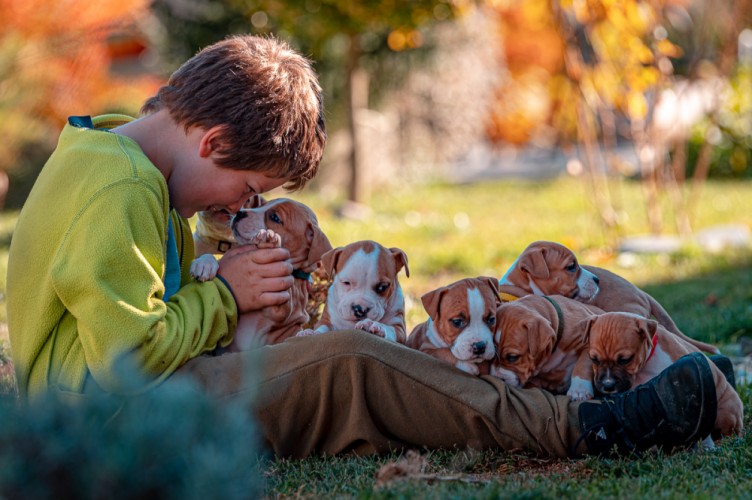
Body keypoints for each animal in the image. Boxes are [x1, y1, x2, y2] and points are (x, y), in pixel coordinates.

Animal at [191, 197, 332, 350]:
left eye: (275, 218)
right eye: (261, 205)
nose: (240, 213)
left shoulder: (284, 309)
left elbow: (286, 296)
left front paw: (271, 241)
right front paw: (204, 263)